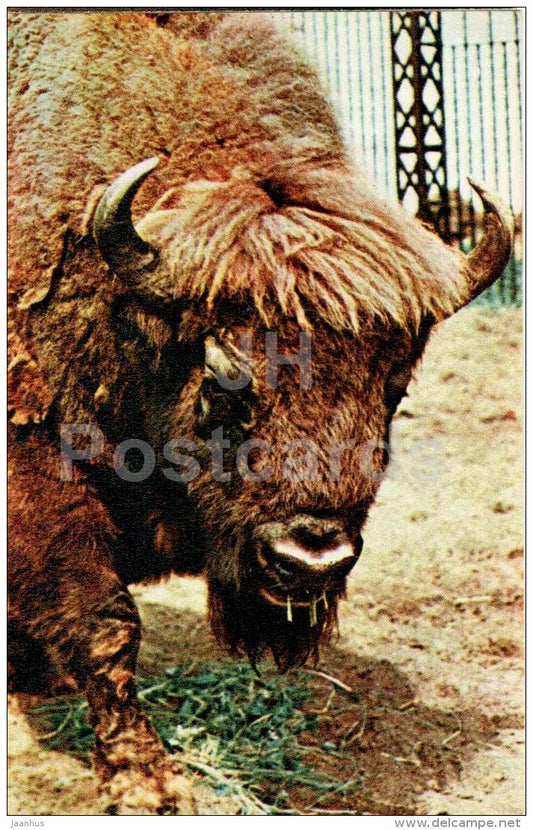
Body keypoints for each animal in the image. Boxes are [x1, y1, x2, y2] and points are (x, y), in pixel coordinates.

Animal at [8, 10, 512, 814]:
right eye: (223, 378)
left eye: (395, 387)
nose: (310, 558)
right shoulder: (36, 468)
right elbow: (105, 623)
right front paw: (147, 782)